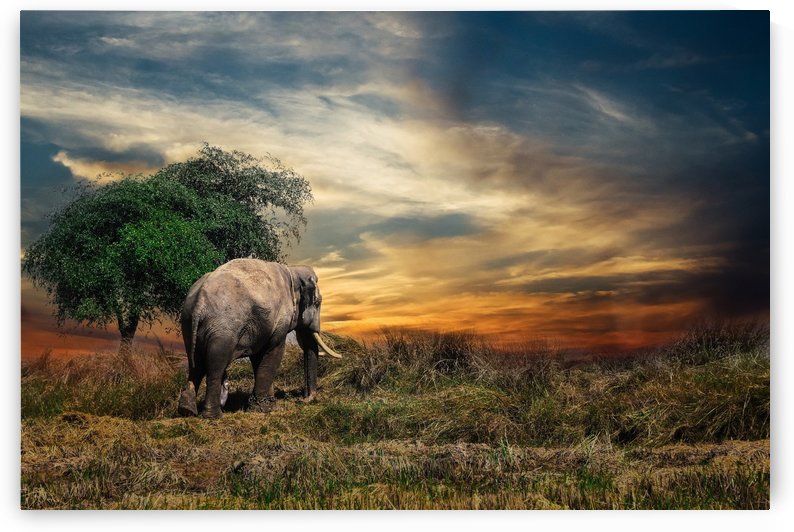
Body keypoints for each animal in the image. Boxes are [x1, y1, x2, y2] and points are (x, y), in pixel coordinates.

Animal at [177, 258, 342, 419]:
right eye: (318, 302)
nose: (304, 399)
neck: (293, 270)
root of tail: (199, 302)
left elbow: (259, 357)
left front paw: (264, 405)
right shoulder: (279, 319)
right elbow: (274, 351)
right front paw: (265, 409)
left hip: (188, 324)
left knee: (195, 364)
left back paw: (187, 411)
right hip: (222, 328)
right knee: (215, 366)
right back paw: (214, 416)